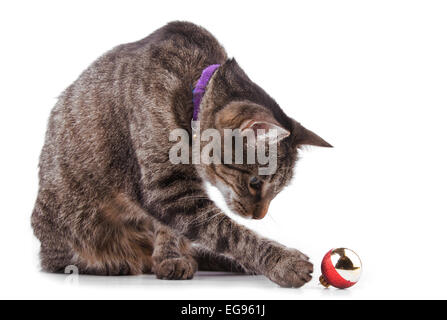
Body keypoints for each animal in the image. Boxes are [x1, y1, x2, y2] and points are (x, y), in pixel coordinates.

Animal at [31, 21, 332, 288]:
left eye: (278, 189)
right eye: (255, 183)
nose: (259, 217)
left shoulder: (175, 188)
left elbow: (171, 229)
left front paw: (171, 257)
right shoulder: (167, 187)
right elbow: (229, 232)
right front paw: (282, 261)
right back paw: (112, 262)